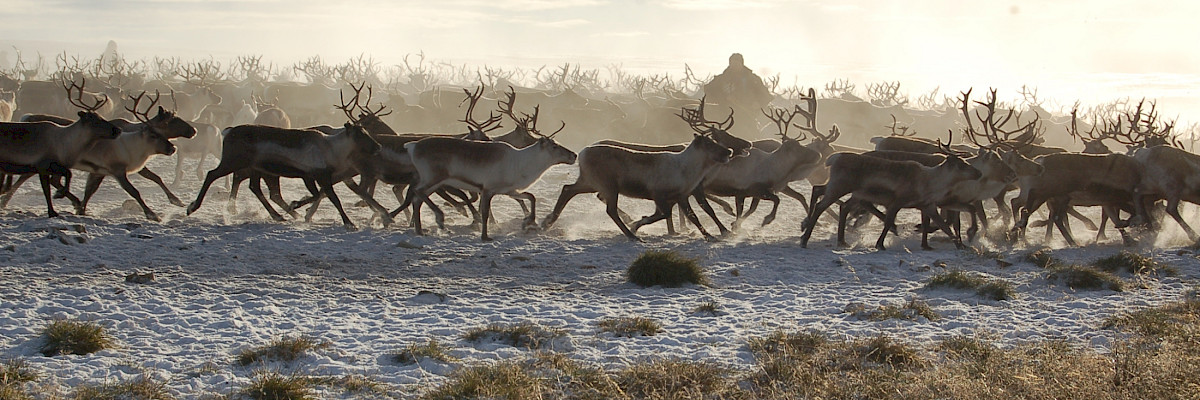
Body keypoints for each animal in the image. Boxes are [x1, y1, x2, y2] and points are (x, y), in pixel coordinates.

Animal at [0, 78, 121, 218]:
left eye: (101, 116)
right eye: (95, 120)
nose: (117, 129)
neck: (67, 144)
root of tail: (25, 117)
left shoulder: (55, 166)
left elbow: (65, 176)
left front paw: (69, 200)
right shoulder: (43, 165)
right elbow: (49, 188)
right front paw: (55, 206)